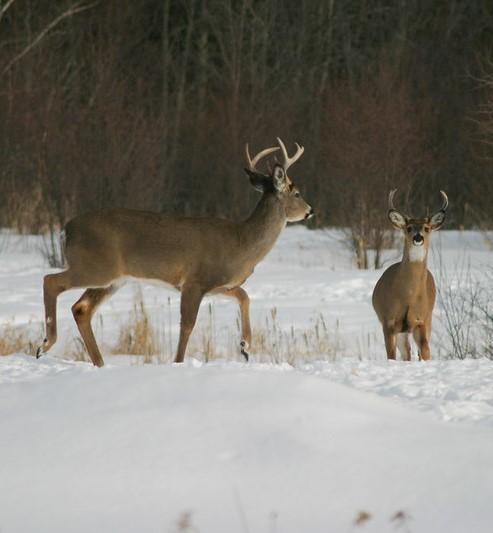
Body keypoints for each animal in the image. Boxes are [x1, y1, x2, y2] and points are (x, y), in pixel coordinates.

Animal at [36, 137, 314, 366]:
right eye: (297, 193)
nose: (310, 211)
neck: (241, 242)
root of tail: (66, 229)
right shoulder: (194, 281)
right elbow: (187, 325)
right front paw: (178, 363)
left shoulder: (218, 284)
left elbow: (244, 295)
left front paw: (245, 346)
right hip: (95, 267)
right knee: (51, 280)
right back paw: (45, 344)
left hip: (113, 279)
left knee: (81, 308)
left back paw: (99, 363)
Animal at [370, 189, 448, 360]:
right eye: (409, 228)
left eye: (427, 228)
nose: (418, 237)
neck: (408, 295)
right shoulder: (389, 320)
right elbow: (391, 355)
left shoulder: (421, 320)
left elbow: (425, 352)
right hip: (400, 330)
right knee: (406, 352)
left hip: (427, 320)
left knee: (412, 351)